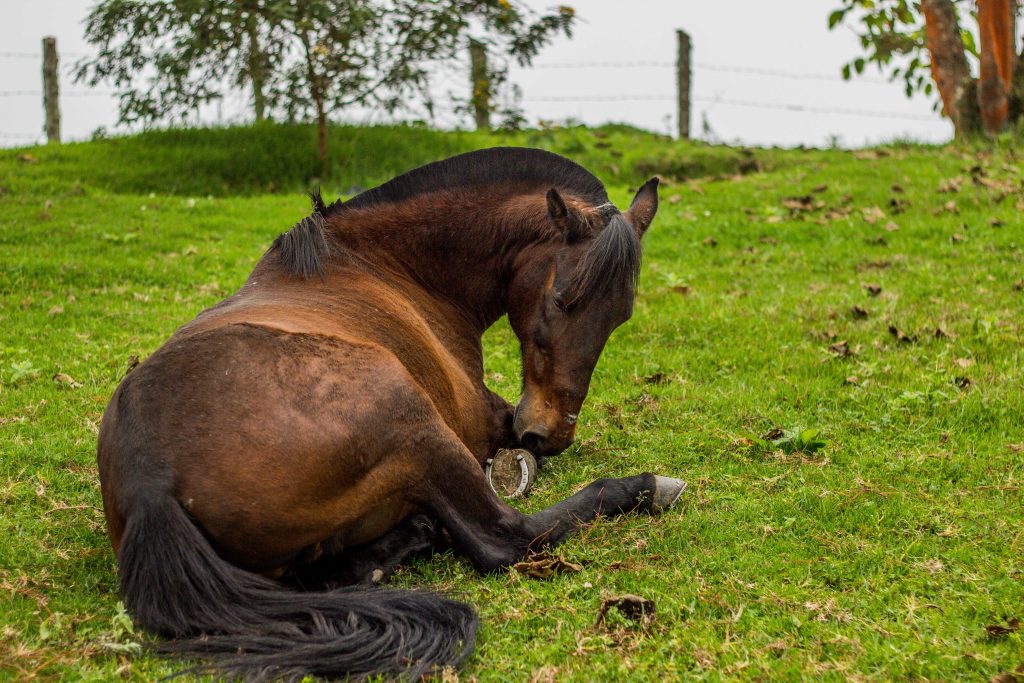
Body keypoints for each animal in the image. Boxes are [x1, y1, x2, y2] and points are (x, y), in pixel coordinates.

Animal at [96, 146, 681, 680]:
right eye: (562, 299)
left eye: (621, 314)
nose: (551, 432)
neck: (383, 264)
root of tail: (152, 486)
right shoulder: (483, 421)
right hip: (417, 426)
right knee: (504, 538)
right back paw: (645, 487)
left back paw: (418, 533)